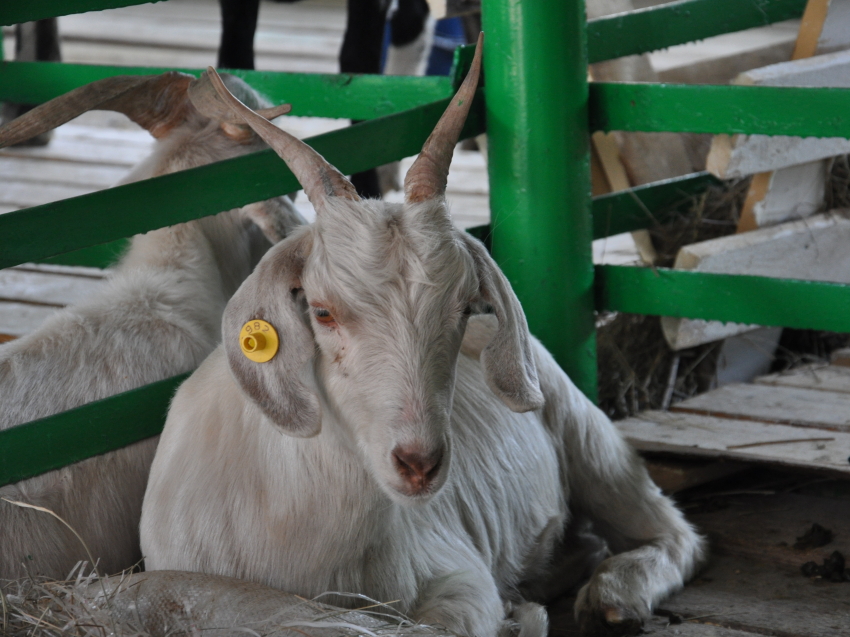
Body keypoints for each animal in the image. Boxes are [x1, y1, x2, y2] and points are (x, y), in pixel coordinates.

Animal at [141, 38, 704, 636]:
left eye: (464, 307)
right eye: (321, 311)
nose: (419, 464)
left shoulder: (457, 575)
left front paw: (522, 615)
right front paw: (524, 610)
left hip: (588, 436)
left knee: (671, 530)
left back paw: (614, 594)